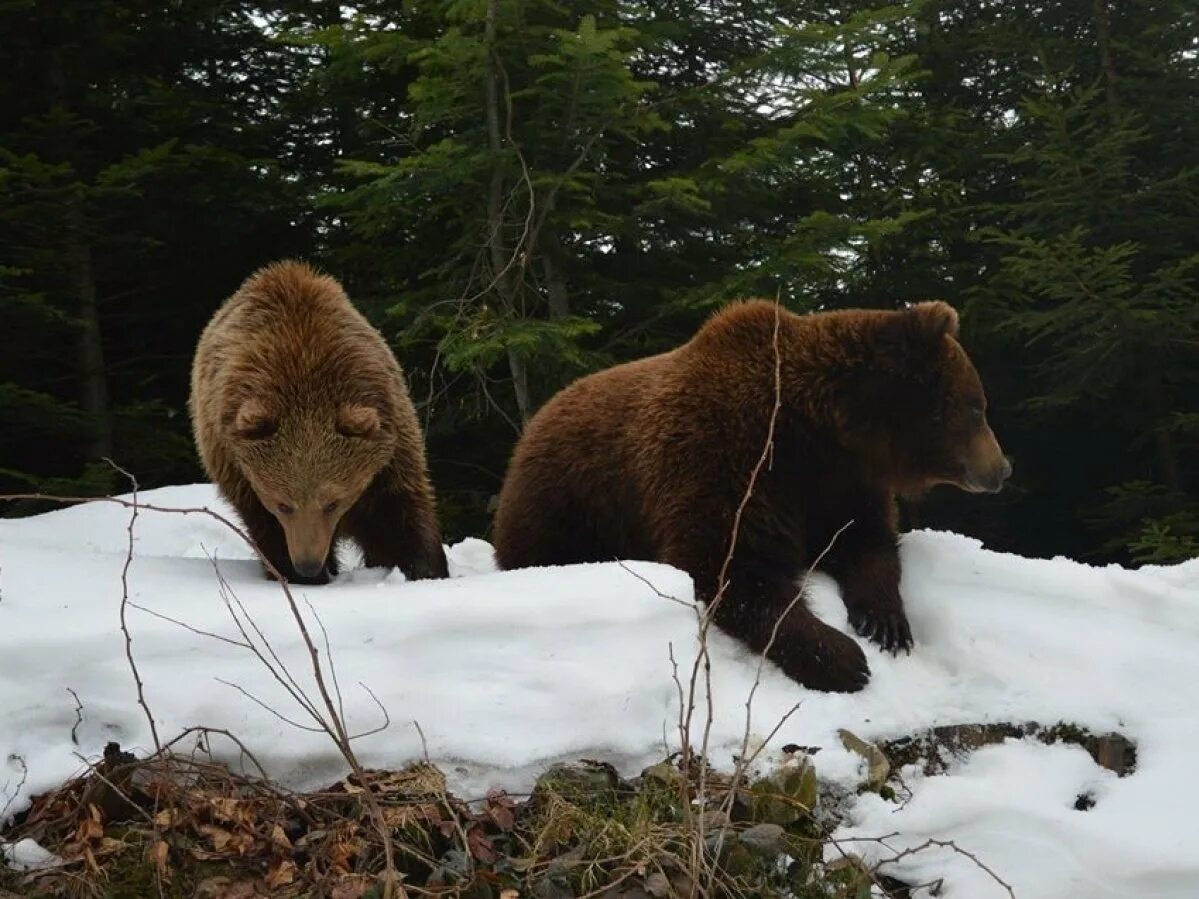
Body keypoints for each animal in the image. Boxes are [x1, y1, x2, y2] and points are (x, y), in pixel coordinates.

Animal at [187, 260, 450, 584]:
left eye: (332, 502)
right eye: (283, 504)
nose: (308, 564)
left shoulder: (389, 449)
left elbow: (398, 512)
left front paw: (424, 569)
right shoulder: (238, 467)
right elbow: (265, 523)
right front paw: (294, 573)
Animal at [491, 299, 1007, 695]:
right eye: (976, 407)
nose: (1002, 468)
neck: (813, 429)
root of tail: (534, 424)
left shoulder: (837, 481)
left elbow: (866, 540)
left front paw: (886, 623)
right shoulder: (729, 457)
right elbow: (732, 566)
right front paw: (843, 659)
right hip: (570, 500)